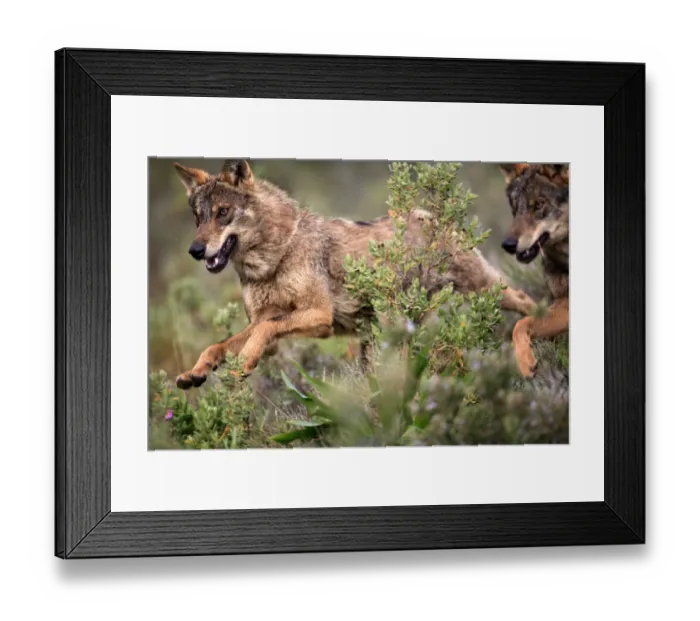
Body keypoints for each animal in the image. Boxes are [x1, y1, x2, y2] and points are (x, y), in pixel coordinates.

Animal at [172, 160, 537, 389]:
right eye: (198, 218)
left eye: (223, 212)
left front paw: (242, 366)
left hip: (485, 290)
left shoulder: (318, 316)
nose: (195, 250)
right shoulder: (264, 323)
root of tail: (428, 213)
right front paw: (195, 373)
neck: (273, 258)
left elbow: (262, 333)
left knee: (527, 300)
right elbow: (216, 346)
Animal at [499, 163, 569, 378]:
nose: (508, 245)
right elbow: (521, 324)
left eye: (538, 205)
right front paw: (525, 362)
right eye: (515, 209)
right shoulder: (564, 303)